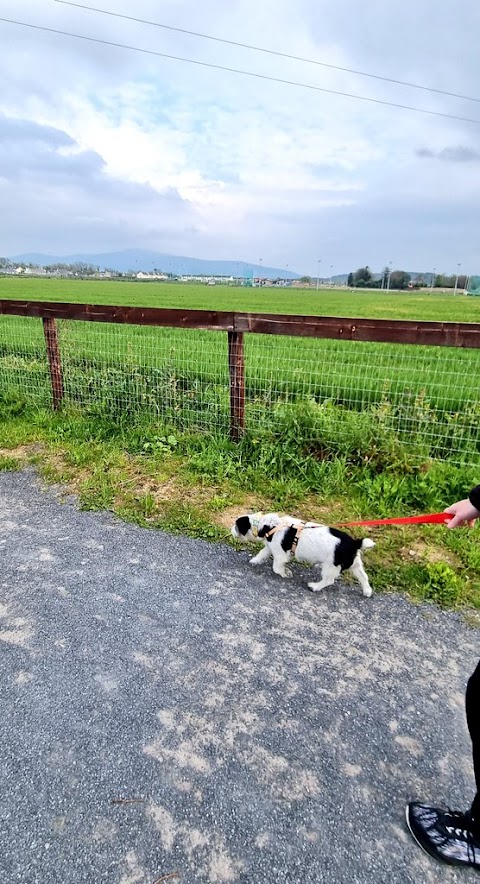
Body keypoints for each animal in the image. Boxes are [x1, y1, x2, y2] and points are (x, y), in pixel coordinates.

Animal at [232, 516, 376, 596]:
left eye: (236, 526)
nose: (230, 529)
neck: (270, 525)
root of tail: (354, 544)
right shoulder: (270, 547)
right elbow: (262, 553)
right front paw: (255, 560)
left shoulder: (280, 555)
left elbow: (276, 568)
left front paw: (285, 573)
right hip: (354, 564)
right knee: (364, 576)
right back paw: (367, 591)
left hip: (330, 567)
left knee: (329, 580)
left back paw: (315, 586)